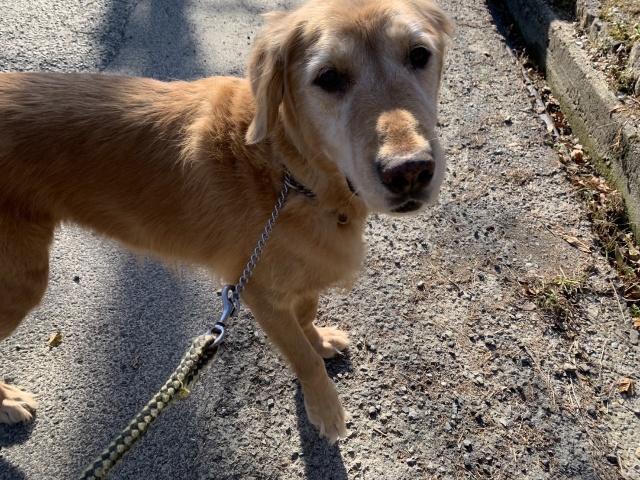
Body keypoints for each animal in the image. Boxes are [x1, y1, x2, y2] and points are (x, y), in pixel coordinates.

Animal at [0, 0, 452, 442]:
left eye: (419, 55)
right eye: (328, 77)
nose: (409, 171)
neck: (288, 172)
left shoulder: (297, 276)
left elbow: (307, 314)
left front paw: (319, 340)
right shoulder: (258, 293)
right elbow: (303, 359)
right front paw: (325, 409)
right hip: (20, 283)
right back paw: (7, 402)